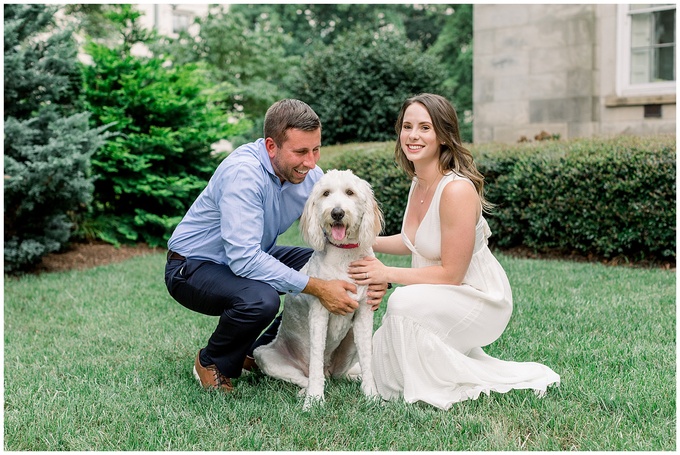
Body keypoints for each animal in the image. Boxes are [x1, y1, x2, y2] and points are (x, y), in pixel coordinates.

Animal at [254, 169, 382, 412]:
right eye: (326, 193)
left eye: (350, 192)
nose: (337, 213)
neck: (344, 254)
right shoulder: (319, 314)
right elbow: (315, 357)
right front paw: (314, 399)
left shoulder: (364, 313)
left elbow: (368, 360)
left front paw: (372, 395)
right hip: (263, 355)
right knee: (309, 376)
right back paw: (306, 391)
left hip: (349, 344)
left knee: (339, 375)